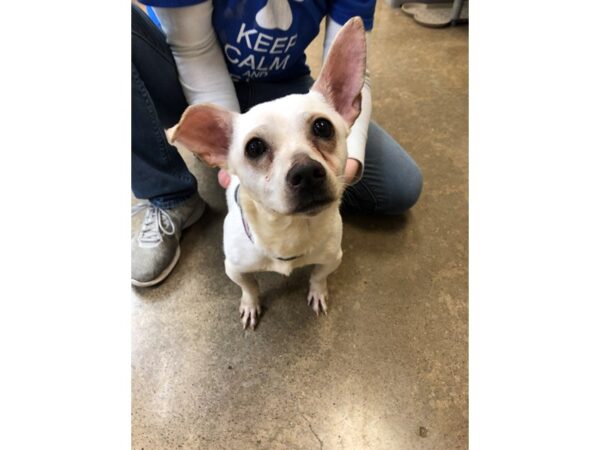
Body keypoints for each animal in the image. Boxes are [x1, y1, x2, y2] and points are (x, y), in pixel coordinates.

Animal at [166, 17, 368, 328]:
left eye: (323, 127)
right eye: (254, 147)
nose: (306, 172)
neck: (289, 232)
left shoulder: (332, 257)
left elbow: (318, 275)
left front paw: (317, 292)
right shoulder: (234, 268)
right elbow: (249, 286)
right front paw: (250, 304)